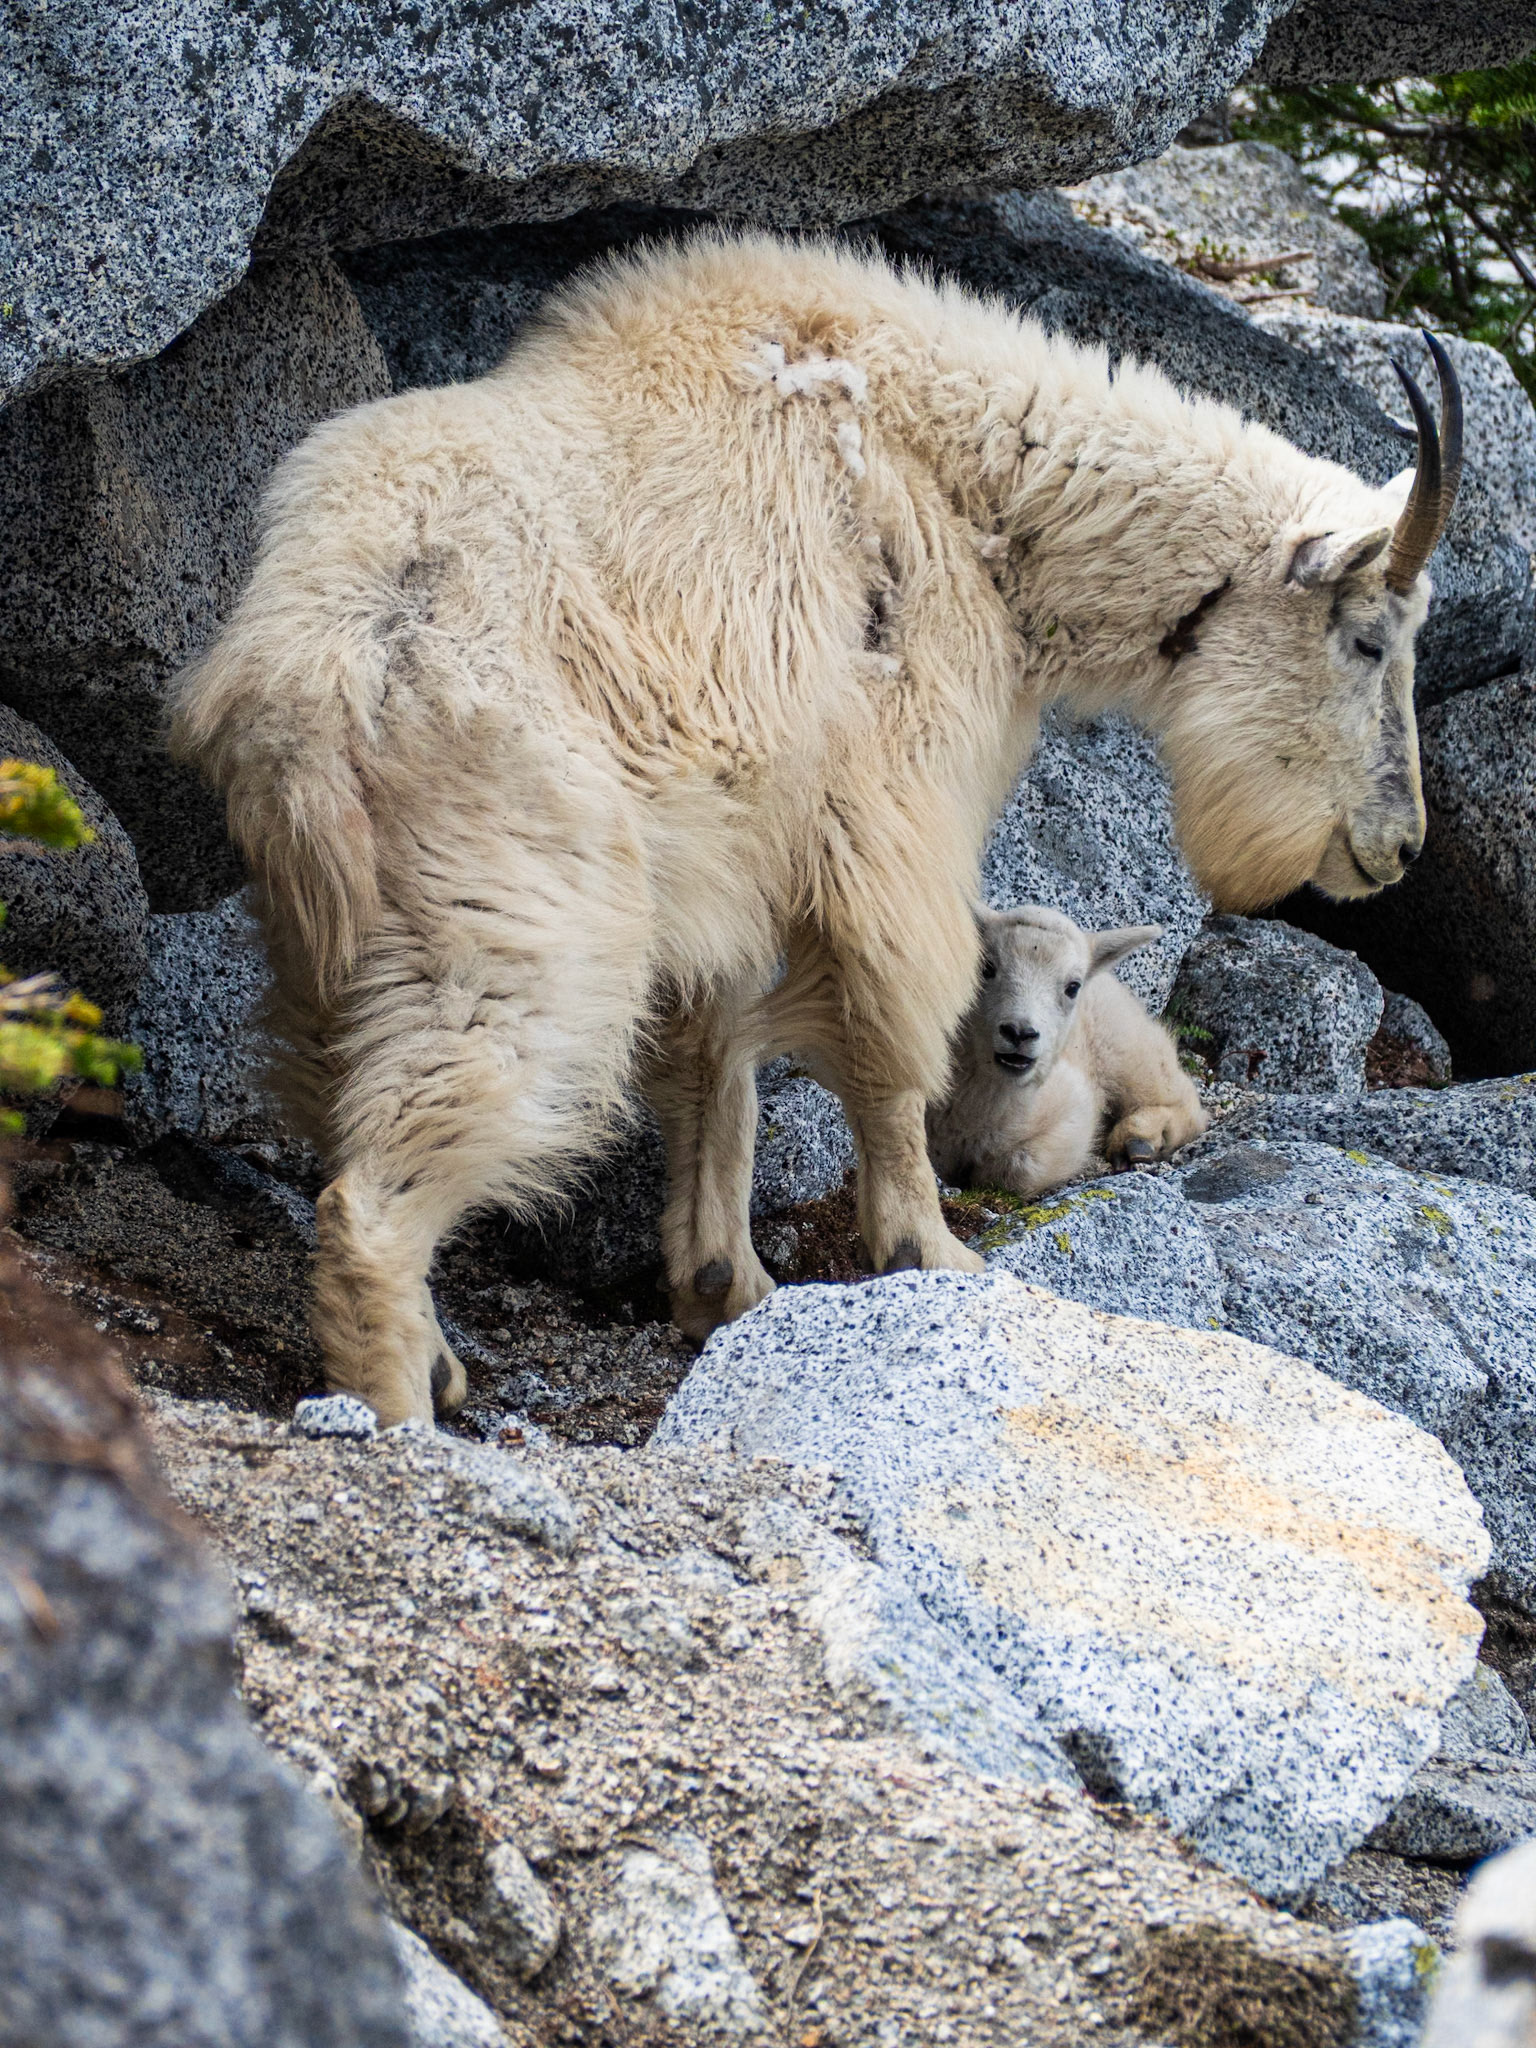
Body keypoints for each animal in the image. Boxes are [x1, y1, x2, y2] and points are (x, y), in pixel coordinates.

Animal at [926, 906, 1208, 1198]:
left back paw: (1140, 1138)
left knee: (1182, 1098)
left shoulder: (1074, 1110)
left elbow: (1019, 1170)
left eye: (1073, 987)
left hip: (1125, 1042)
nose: (1019, 1033)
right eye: (987, 968)